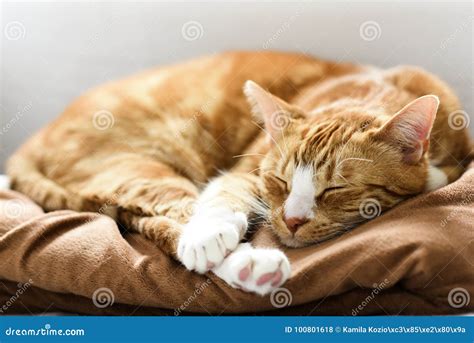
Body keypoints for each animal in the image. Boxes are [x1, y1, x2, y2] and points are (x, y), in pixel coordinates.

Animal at [7, 50, 470, 296]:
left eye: (336, 188)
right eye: (280, 181)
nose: (292, 220)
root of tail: (35, 139)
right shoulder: (242, 171)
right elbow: (220, 197)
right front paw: (211, 235)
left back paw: (250, 268)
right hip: (139, 163)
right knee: (179, 219)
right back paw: (245, 260)